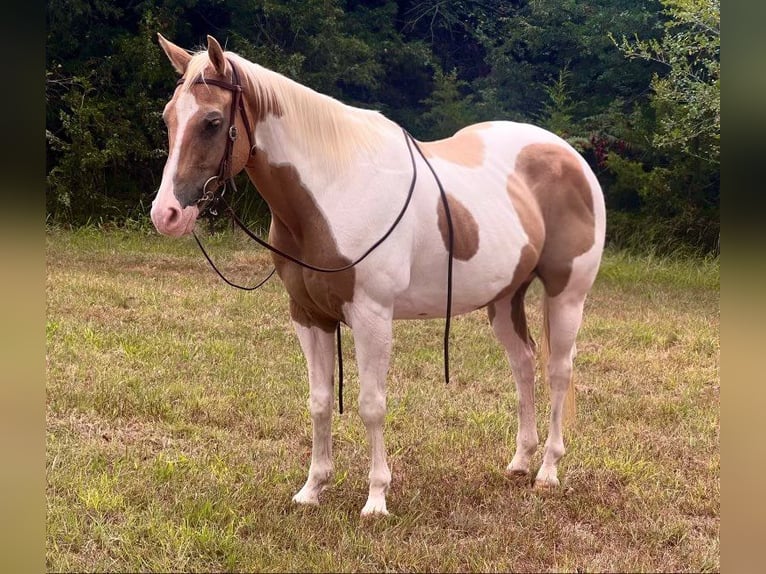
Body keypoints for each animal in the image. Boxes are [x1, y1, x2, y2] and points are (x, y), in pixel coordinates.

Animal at [150, 33, 608, 520]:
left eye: (212, 121)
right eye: (168, 117)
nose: (167, 214)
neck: (335, 188)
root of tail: (570, 157)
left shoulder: (372, 317)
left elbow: (371, 405)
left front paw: (376, 498)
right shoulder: (308, 315)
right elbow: (319, 402)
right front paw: (313, 488)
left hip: (567, 296)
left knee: (558, 371)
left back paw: (548, 471)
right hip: (504, 299)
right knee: (523, 364)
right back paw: (521, 461)